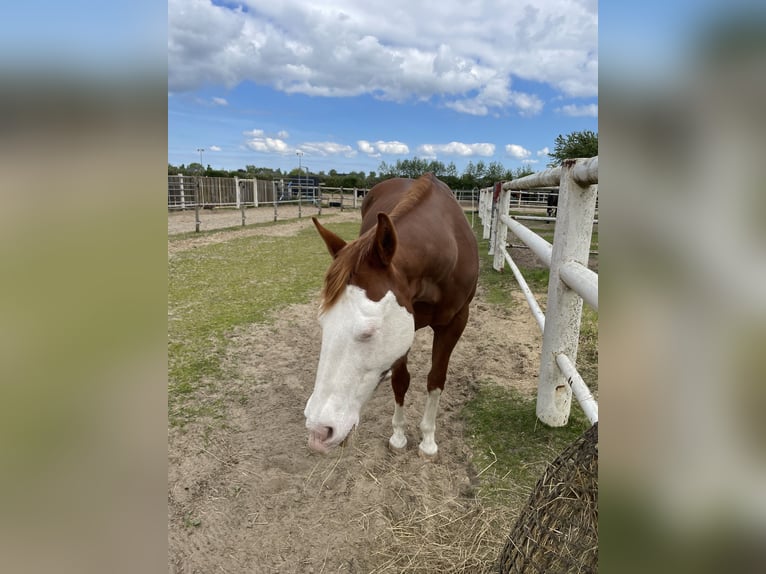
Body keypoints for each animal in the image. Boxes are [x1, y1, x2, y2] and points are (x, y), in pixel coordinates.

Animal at [304, 173, 479, 458]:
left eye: (368, 331)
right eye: (323, 324)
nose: (318, 431)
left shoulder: (456, 322)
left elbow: (435, 379)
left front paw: (428, 441)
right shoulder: (407, 326)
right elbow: (400, 381)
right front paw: (398, 436)